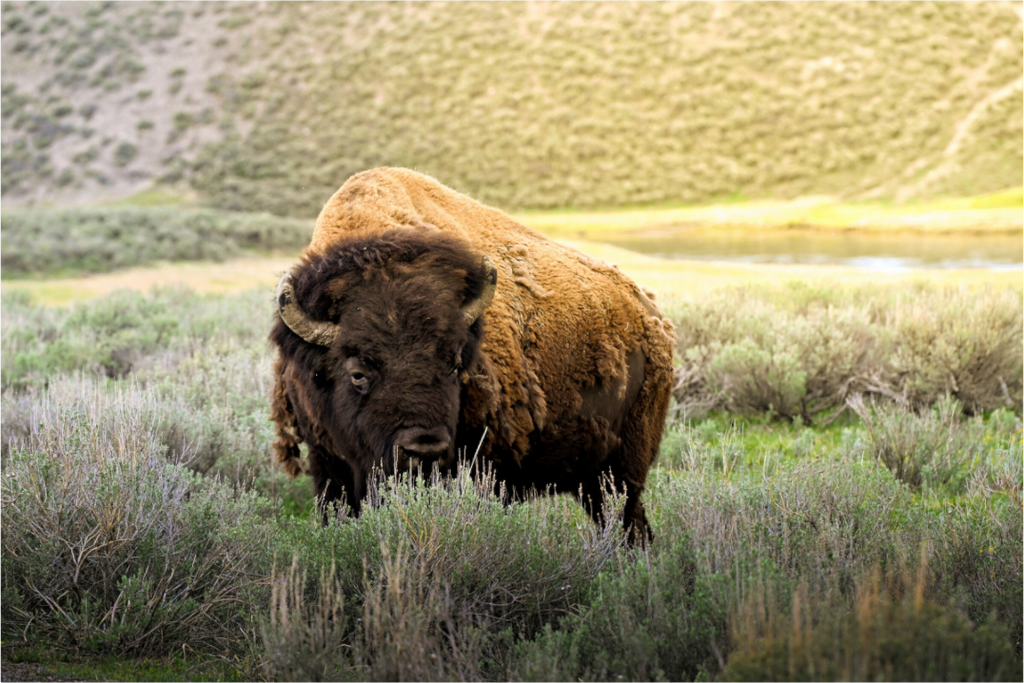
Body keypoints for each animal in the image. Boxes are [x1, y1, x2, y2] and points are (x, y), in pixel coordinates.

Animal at [270, 168, 674, 542]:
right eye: (358, 372)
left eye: (454, 365)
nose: (424, 450)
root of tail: (650, 314)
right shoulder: (329, 465)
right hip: (591, 479)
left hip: (623, 471)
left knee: (631, 521)